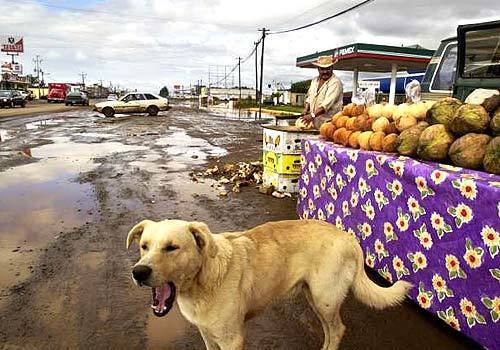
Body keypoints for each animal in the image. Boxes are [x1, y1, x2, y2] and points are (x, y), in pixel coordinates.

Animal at [126, 219, 410, 350]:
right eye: (144, 246)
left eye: (171, 248)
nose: (138, 272)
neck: (204, 281)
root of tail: (348, 236)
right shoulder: (207, 334)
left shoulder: (233, 339)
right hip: (315, 298)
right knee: (331, 331)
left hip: (325, 299)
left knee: (338, 330)